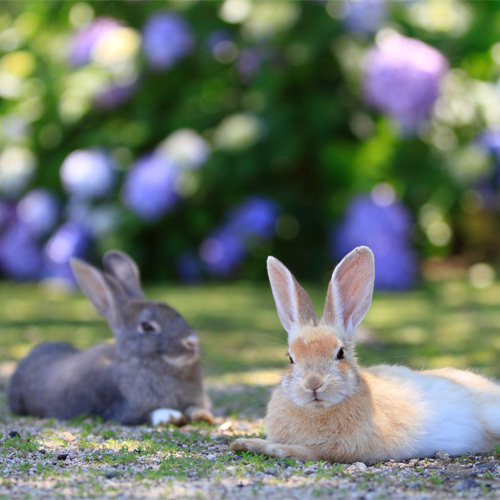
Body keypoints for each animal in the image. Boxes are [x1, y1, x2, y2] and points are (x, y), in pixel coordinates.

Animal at [6, 250, 213, 426]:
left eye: (177, 313)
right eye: (147, 326)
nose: (191, 342)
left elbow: (194, 407)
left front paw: (203, 415)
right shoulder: (124, 410)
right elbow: (150, 414)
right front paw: (172, 416)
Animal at [231, 248, 500, 462]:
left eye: (340, 353)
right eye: (290, 358)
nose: (313, 384)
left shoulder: (344, 448)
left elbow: (310, 451)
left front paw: (268, 448)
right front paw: (244, 443)